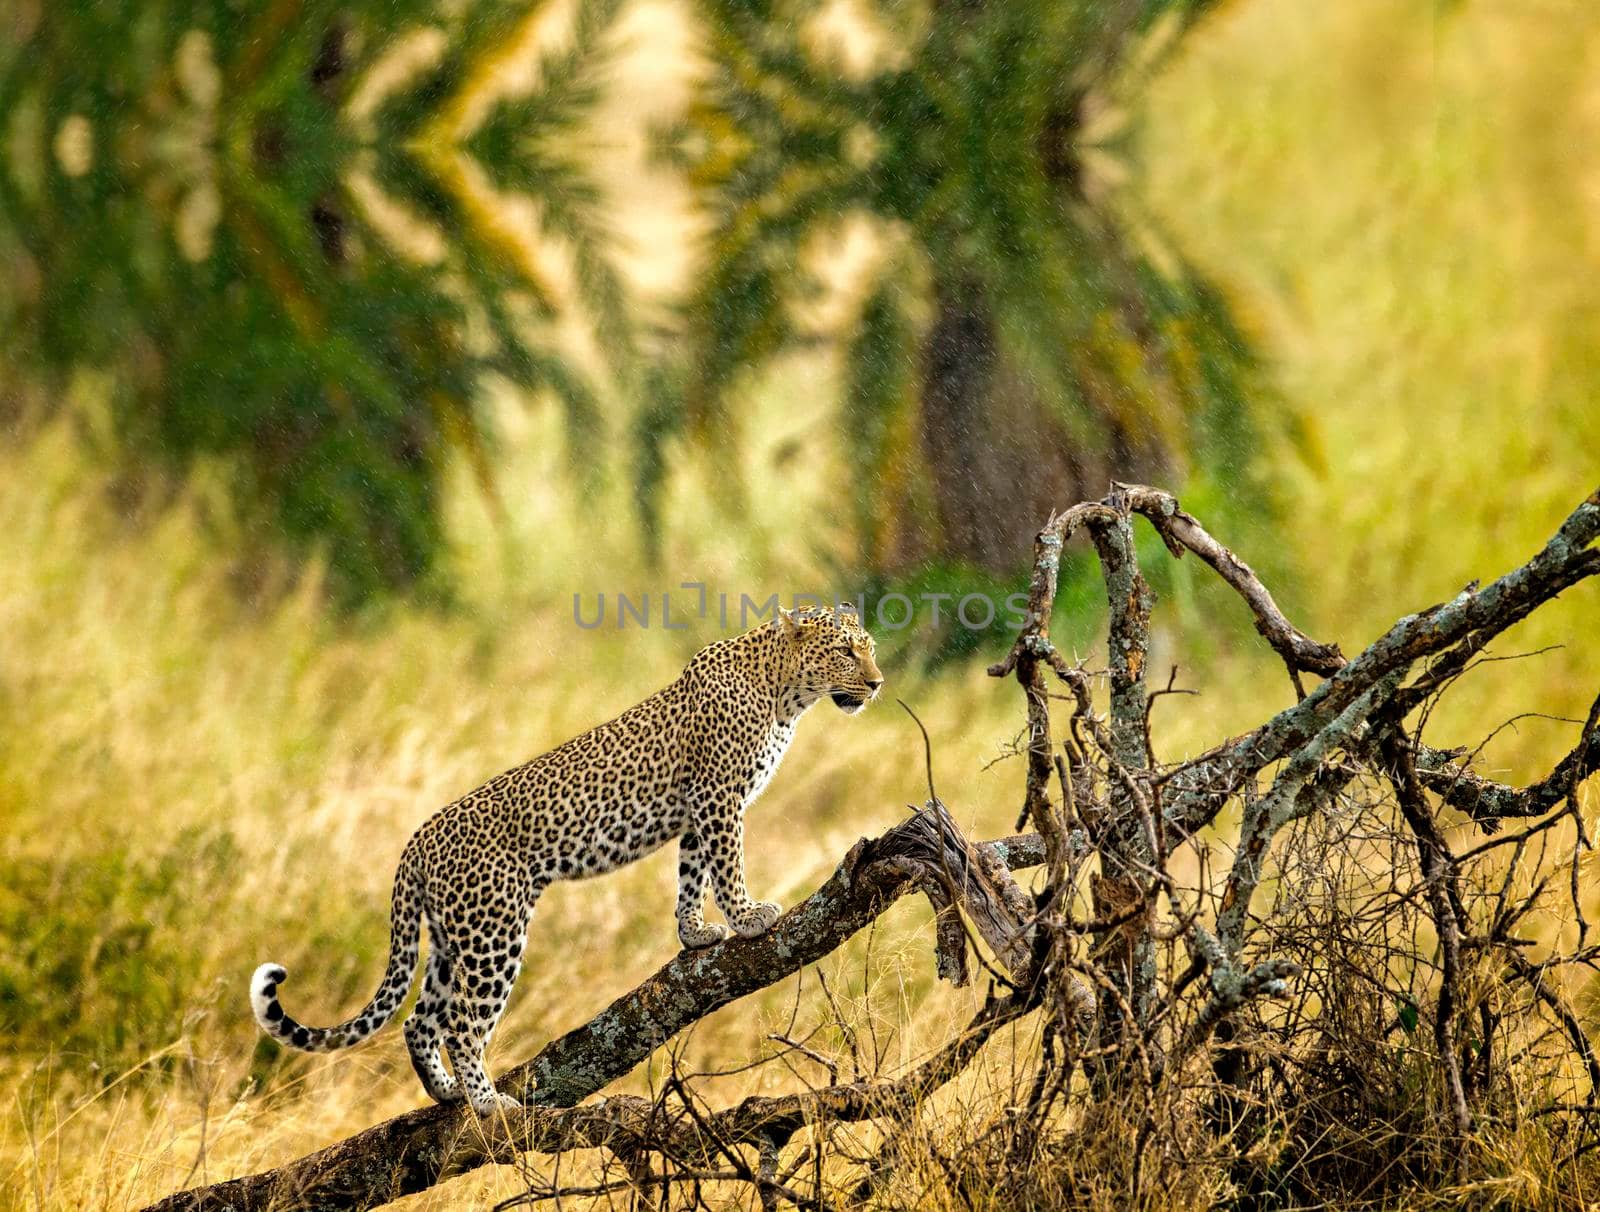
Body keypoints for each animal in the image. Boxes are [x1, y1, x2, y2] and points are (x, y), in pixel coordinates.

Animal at [246, 604, 889, 1112]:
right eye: (844, 651)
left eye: (871, 648)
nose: (879, 683)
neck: (785, 694)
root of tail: (417, 840)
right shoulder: (717, 799)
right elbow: (726, 866)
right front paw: (750, 916)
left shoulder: (695, 812)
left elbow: (691, 875)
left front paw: (695, 933)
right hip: (493, 932)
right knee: (461, 1025)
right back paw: (488, 1102)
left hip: (452, 940)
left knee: (419, 1019)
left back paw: (447, 1093)